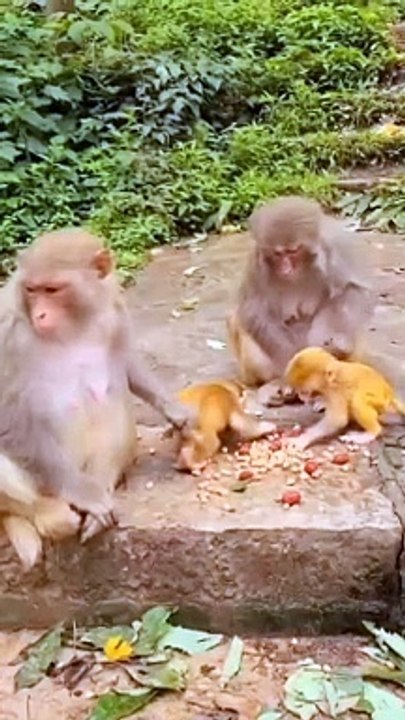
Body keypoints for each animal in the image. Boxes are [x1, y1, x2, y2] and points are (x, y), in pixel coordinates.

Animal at [0, 228, 193, 565]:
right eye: (31, 290)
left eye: (52, 289)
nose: (40, 314)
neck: (75, 321)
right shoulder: (8, 330)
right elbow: (8, 413)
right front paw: (85, 495)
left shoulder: (113, 309)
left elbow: (124, 363)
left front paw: (172, 408)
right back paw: (50, 512)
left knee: (109, 396)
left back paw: (102, 485)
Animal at [228, 195, 373, 407]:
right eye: (278, 254)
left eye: (293, 251)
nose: (285, 268)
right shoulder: (255, 260)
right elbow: (253, 309)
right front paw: (287, 369)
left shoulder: (336, 247)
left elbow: (352, 290)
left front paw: (332, 341)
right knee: (237, 320)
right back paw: (275, 385)